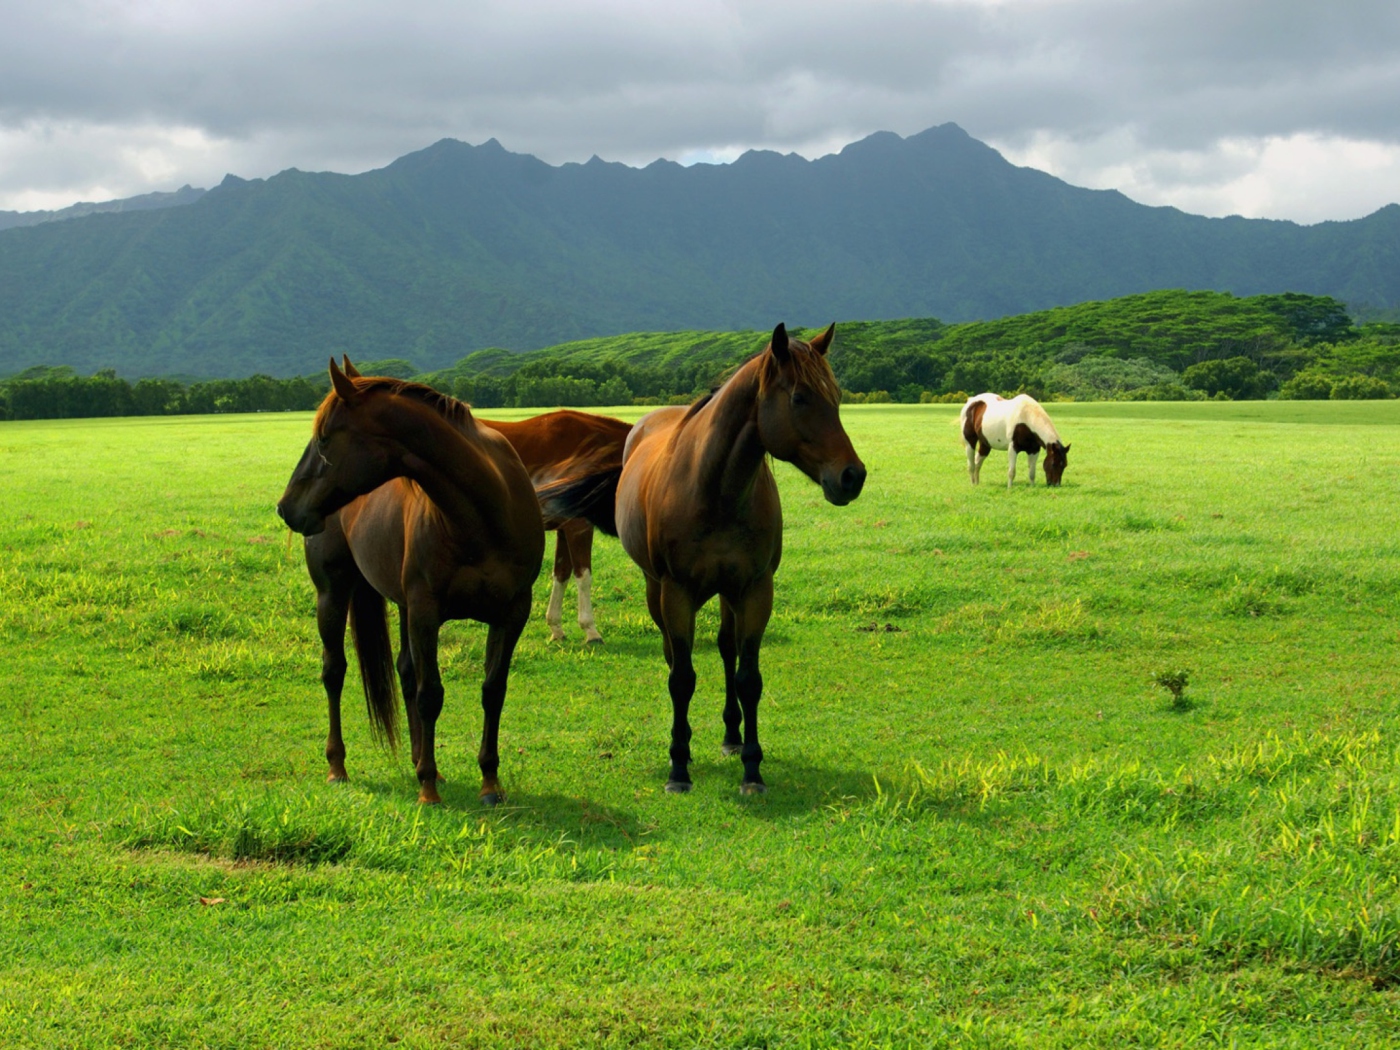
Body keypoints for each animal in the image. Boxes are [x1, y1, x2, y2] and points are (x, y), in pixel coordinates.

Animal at [275, 358, 543, 812]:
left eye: (324, 439)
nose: (286, 508)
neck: (484, 514)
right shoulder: (425, 611)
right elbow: (430, 693)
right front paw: (428, 789)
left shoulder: (511, 613)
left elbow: (493, 690)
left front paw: (489, 781)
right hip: (334, 594)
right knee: (335, 671)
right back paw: (339, 766)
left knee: (403, 669)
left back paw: (421, 759)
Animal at [546, 324, 862, 795]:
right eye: (800, 397)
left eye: (836, 395)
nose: (852, 476)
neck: (715, 490)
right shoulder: (676, 593)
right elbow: (682, 678)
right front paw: (679, 766)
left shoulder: (754, 590)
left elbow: (748, 678)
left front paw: (752, 767)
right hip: (656, 590)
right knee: (673, 657)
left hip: (728, 594)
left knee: (727, 650)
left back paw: (732, 736)